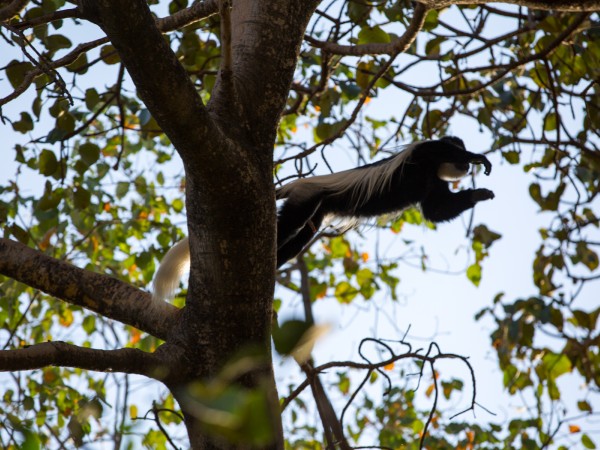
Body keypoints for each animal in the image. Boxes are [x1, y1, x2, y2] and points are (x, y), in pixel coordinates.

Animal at [152, 135, 494, 300]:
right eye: (459, 155)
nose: (465, 166)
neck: (432, 171)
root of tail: (300, 183)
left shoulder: (433, 185)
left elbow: (437, 212)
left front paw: (479, 195)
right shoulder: (422, 156)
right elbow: (435, 151)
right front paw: (479, 158)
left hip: (315, 210)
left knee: (299, 239)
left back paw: (272, 267)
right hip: (306, 200)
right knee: (285, 228)